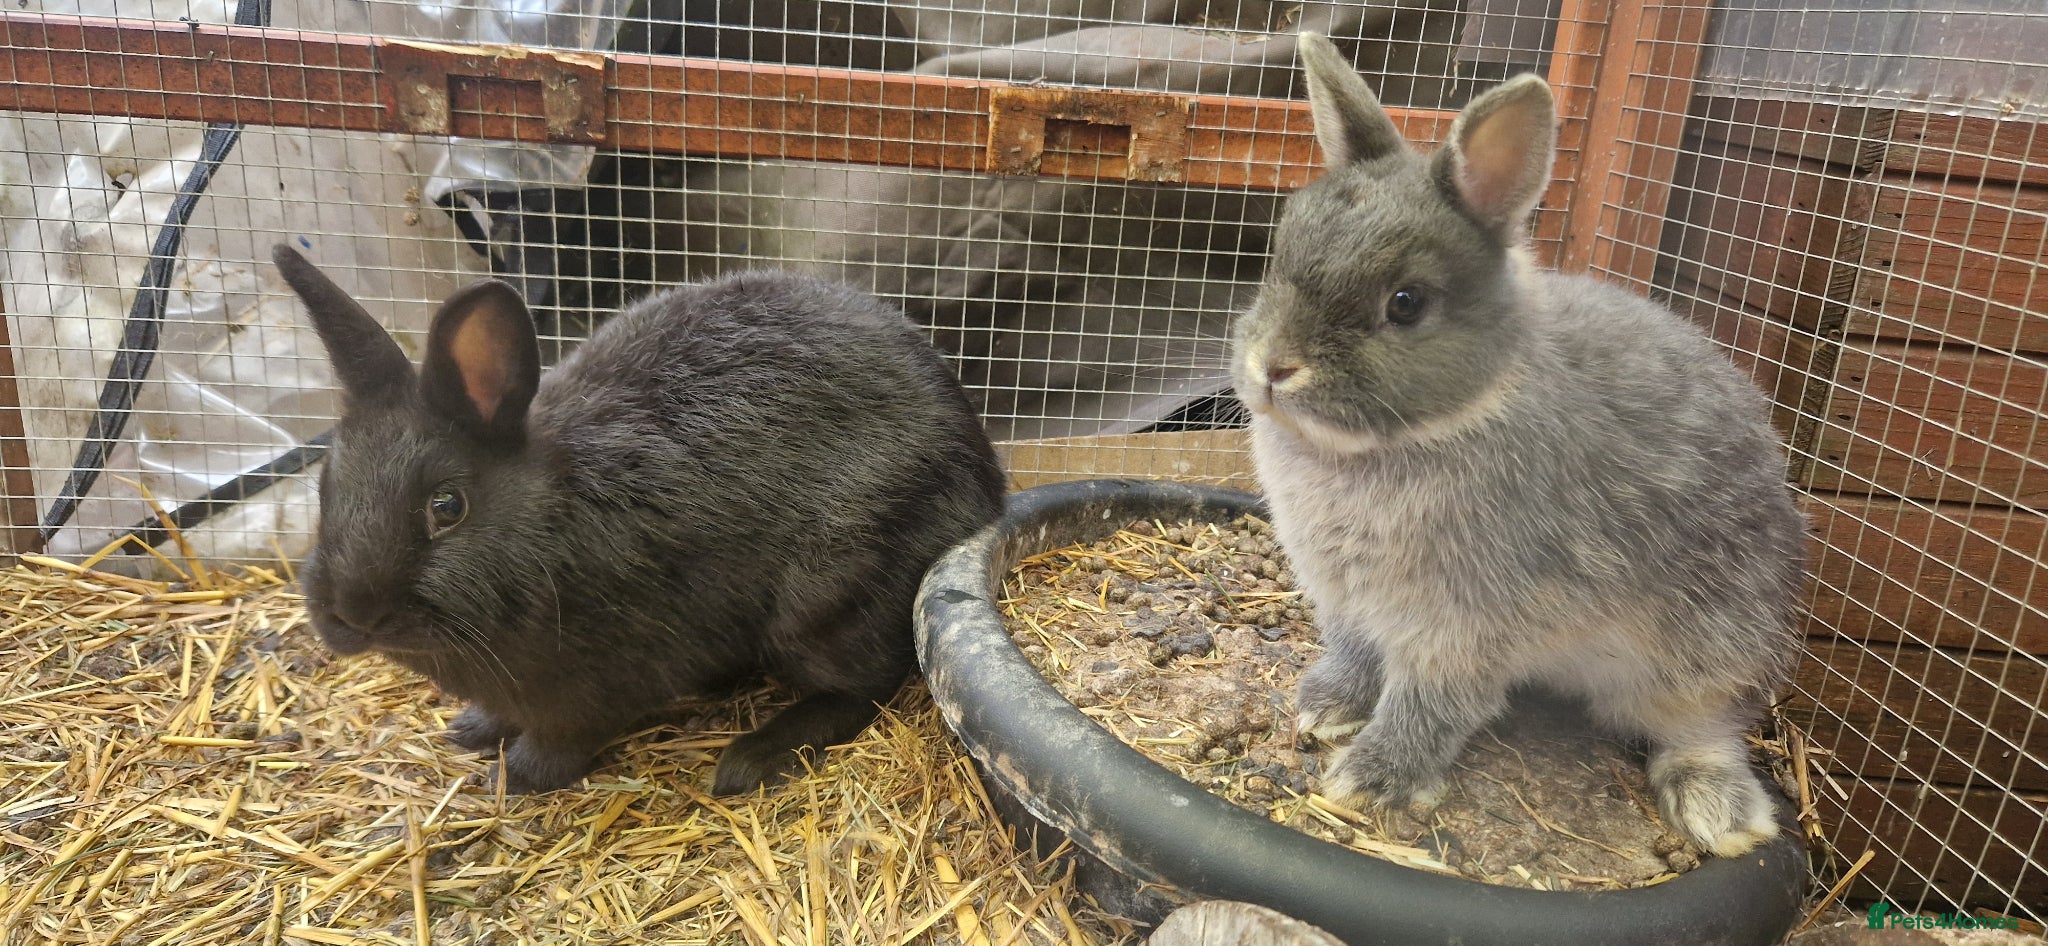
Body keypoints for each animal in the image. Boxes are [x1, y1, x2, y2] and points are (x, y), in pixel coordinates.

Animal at [271, 243, 1007, 795]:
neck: (552, 515)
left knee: (867, 684)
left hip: (828, 598)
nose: (350, 614)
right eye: (326, 487)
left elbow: (563, 739)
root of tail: (985, 479)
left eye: (446, 506)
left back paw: (750, 757)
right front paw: (473, 729)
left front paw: (515, 777)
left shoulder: (591, 688)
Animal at [1231, 34, 1808, 858]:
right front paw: (1324, 707)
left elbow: (1433, 701)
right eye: (1278, 255)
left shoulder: (1464, 625)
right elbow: (1354, 653)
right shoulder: (1346, 599)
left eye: (1406, 304)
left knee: (1705, 726)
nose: (1273, 366)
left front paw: (1371, 780)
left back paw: (1720, 814)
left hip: (1711, 646)